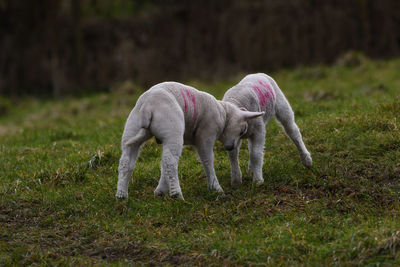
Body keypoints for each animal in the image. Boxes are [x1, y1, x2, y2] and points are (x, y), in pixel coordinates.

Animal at [115, 81, 264, 201]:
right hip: (172, 128)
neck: (223, 114)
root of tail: (147, 106)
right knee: (170, 161)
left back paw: (121, 195)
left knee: (126, 162)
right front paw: (215, 188)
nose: (230, 147)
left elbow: (162, 166)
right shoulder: (205, 135)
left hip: (133, 128)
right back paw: (177, 194)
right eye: (242, 130)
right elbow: (207, 160)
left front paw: (160, 191)